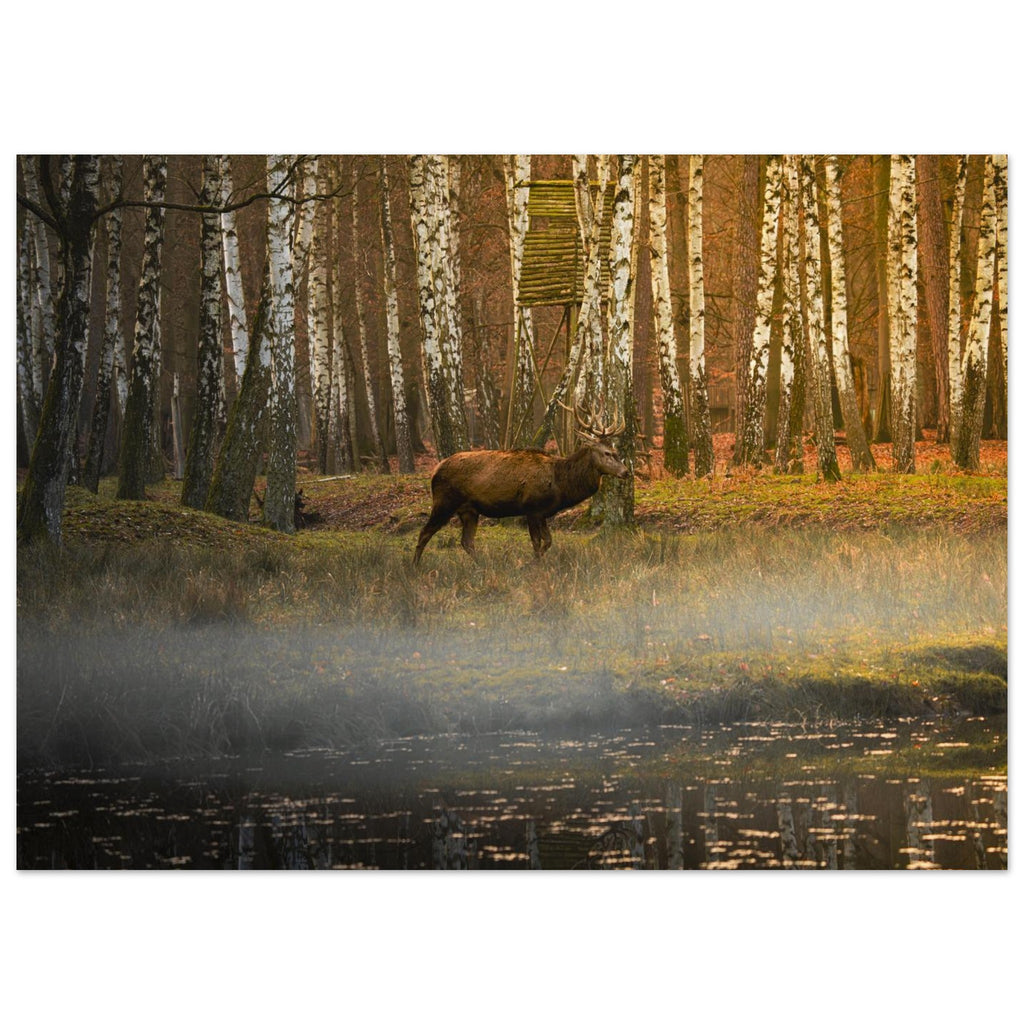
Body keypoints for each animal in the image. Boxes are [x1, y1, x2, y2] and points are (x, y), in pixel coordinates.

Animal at [413, 405, 629, 564]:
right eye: (607, 453)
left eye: (616, 451)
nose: (626, 472)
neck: (560, 484)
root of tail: (435, 470)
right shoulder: (531, 508)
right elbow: (537, 542)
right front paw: (532, 564)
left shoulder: (543, 513)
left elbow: (548, 541)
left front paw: (535, 562)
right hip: (444, 502)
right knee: (424, 532)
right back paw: (415, 566)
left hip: (469, 510)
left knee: (466, 541)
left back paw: (482, 564)